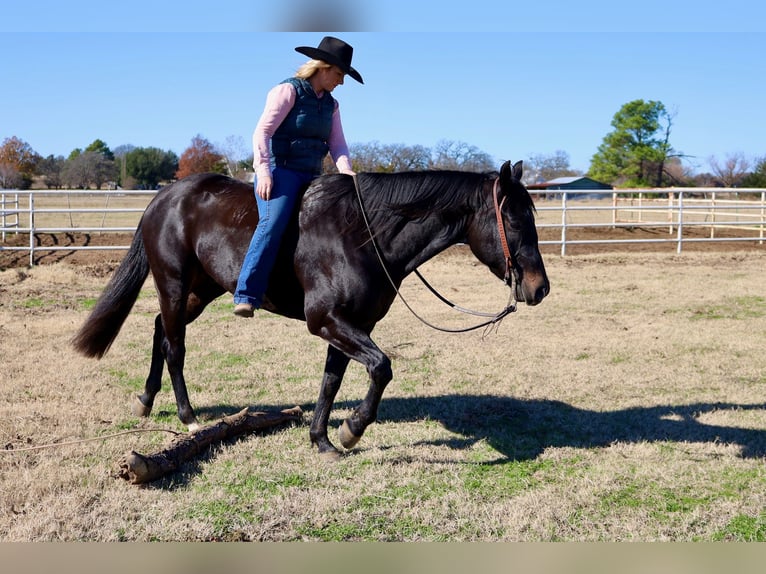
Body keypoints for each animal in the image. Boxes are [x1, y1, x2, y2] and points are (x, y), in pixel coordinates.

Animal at [73, 160, 552, 462]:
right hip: (173, 284)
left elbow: (331, 382)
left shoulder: (351, 324)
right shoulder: (327, 321)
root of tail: (163, 198)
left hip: (200, 290)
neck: (361, 234)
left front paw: (322, 439)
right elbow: (381, 367)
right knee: (175, 346)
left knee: (160, 329)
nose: (540, 287)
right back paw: (188, 418)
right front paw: (352, 429)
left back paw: (146, 401)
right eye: (513, 219)